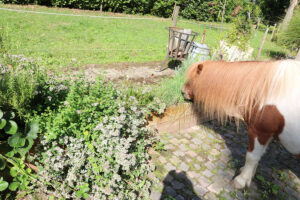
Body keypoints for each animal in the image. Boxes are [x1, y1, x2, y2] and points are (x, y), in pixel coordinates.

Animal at [180, 59, 300, 189]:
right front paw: (248, 175)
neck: (270, 90)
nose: (182, 91)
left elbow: (252, 156)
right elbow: (259, 155)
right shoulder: (268, 135)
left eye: (193, 77)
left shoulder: (259, 132)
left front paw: (241, 180)